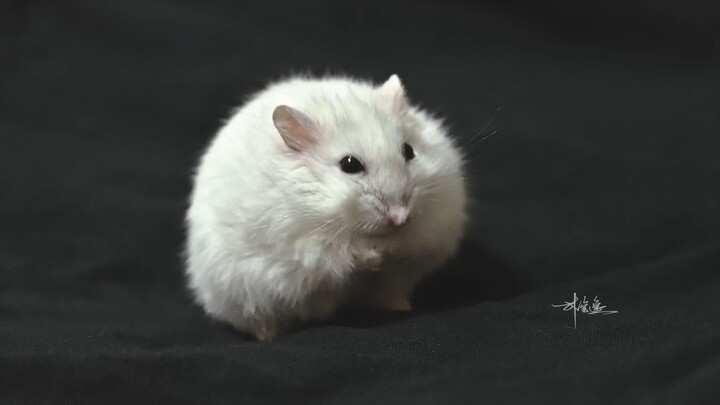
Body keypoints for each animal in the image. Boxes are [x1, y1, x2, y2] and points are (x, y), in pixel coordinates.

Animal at [185, 74, 467, 340]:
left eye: (409, 151)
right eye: (349, 164)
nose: (400, 218)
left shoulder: (435, 225)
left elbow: (411, 246)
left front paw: (392, 249)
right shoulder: (304, 245)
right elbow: (339, 254)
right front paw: (375, 254)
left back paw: (401, 308)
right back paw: (269, 335)